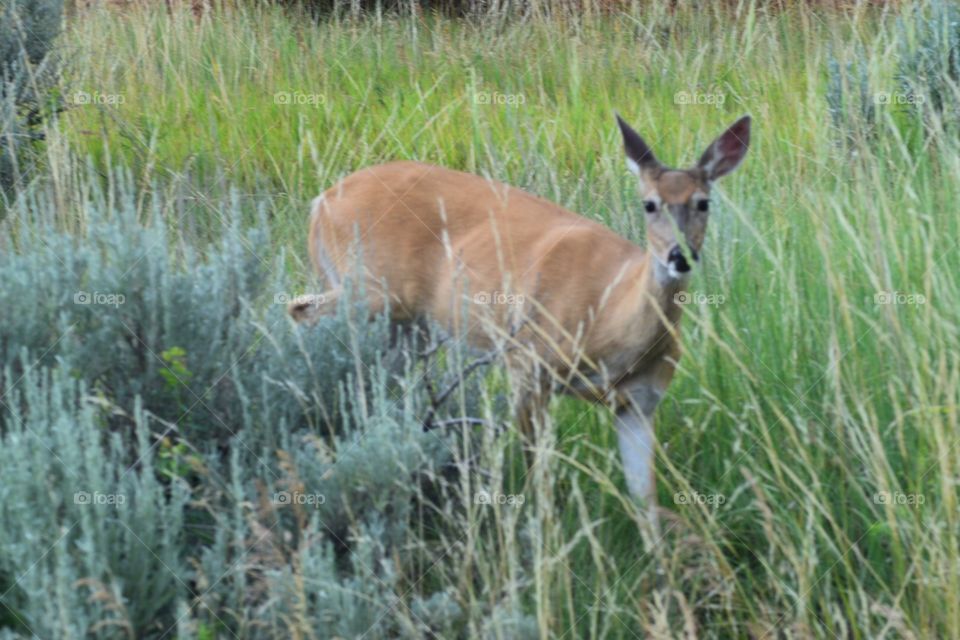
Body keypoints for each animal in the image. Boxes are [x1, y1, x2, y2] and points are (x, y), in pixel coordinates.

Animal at [288, 114, 751, 526]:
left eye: (703, 202)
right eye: (649, 204)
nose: (680, 256)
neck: (609, 322)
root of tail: (319, 203)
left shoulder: (639, 401)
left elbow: (645, 504)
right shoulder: (527, 363)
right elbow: (537, 476)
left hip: (403, 322)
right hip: (367, 291)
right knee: (299, 310)